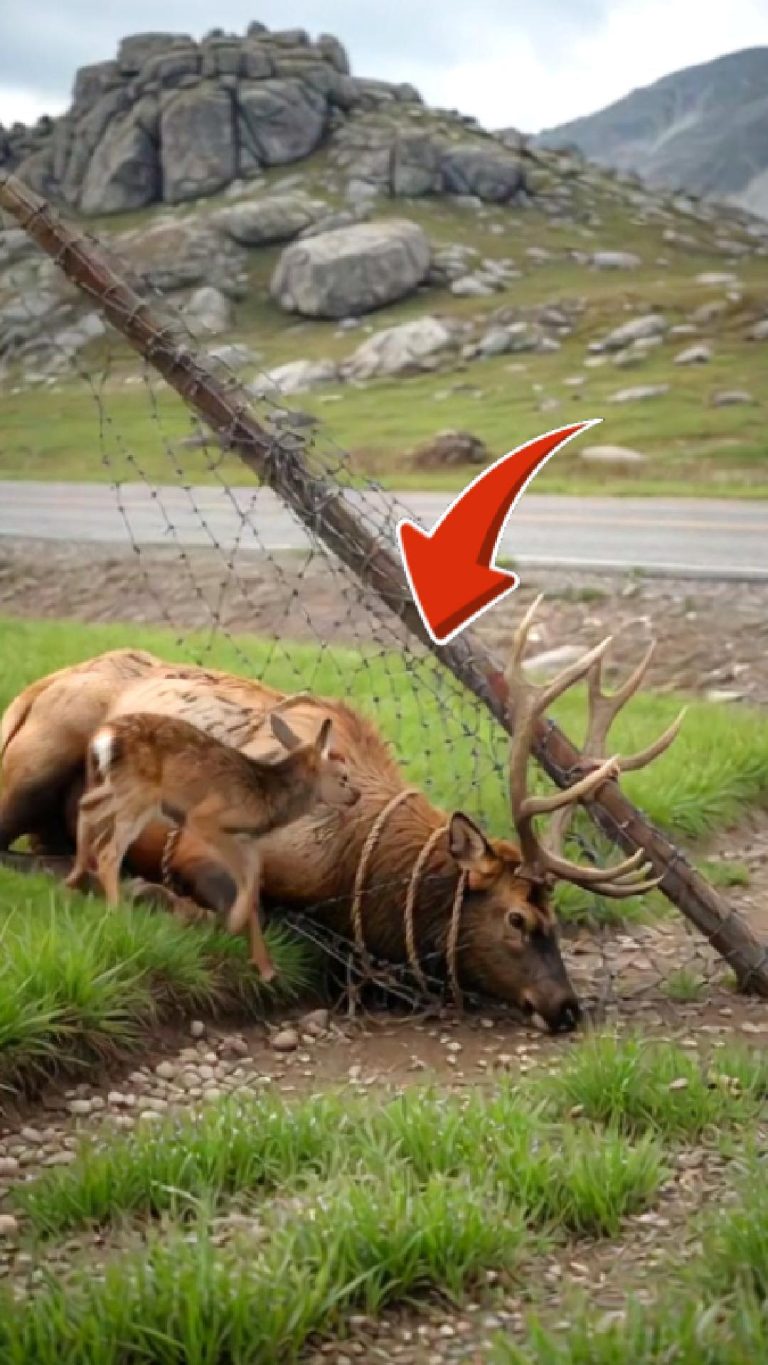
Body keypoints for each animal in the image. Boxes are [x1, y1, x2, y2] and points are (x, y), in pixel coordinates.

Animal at [64, 709, 359, 981]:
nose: (357, 795)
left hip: (120, 788)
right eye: (343, 777)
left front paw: (264, 967)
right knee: (108, 851)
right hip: (140, 794)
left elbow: (254, 883)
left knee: (86, 806)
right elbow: (247, 880)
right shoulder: (205, 819)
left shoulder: (246, 841)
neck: (266, 799)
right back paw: (117, 913)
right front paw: (235, 924)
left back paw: (73, 881)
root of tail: (105, 736)